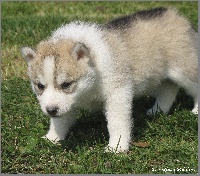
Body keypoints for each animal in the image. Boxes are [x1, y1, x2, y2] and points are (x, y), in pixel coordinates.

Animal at [21, 7, 198, 152]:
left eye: (66, 84)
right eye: (40, 86)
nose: (51, 110)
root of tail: (176, 14)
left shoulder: (118, 93)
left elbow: (117, 122)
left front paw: (117, 147)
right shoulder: (67, 103)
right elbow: (61, 121)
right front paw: (52, 138)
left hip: (183, 69)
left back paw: (195, 111)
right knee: (169, 88)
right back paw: (157, 110)